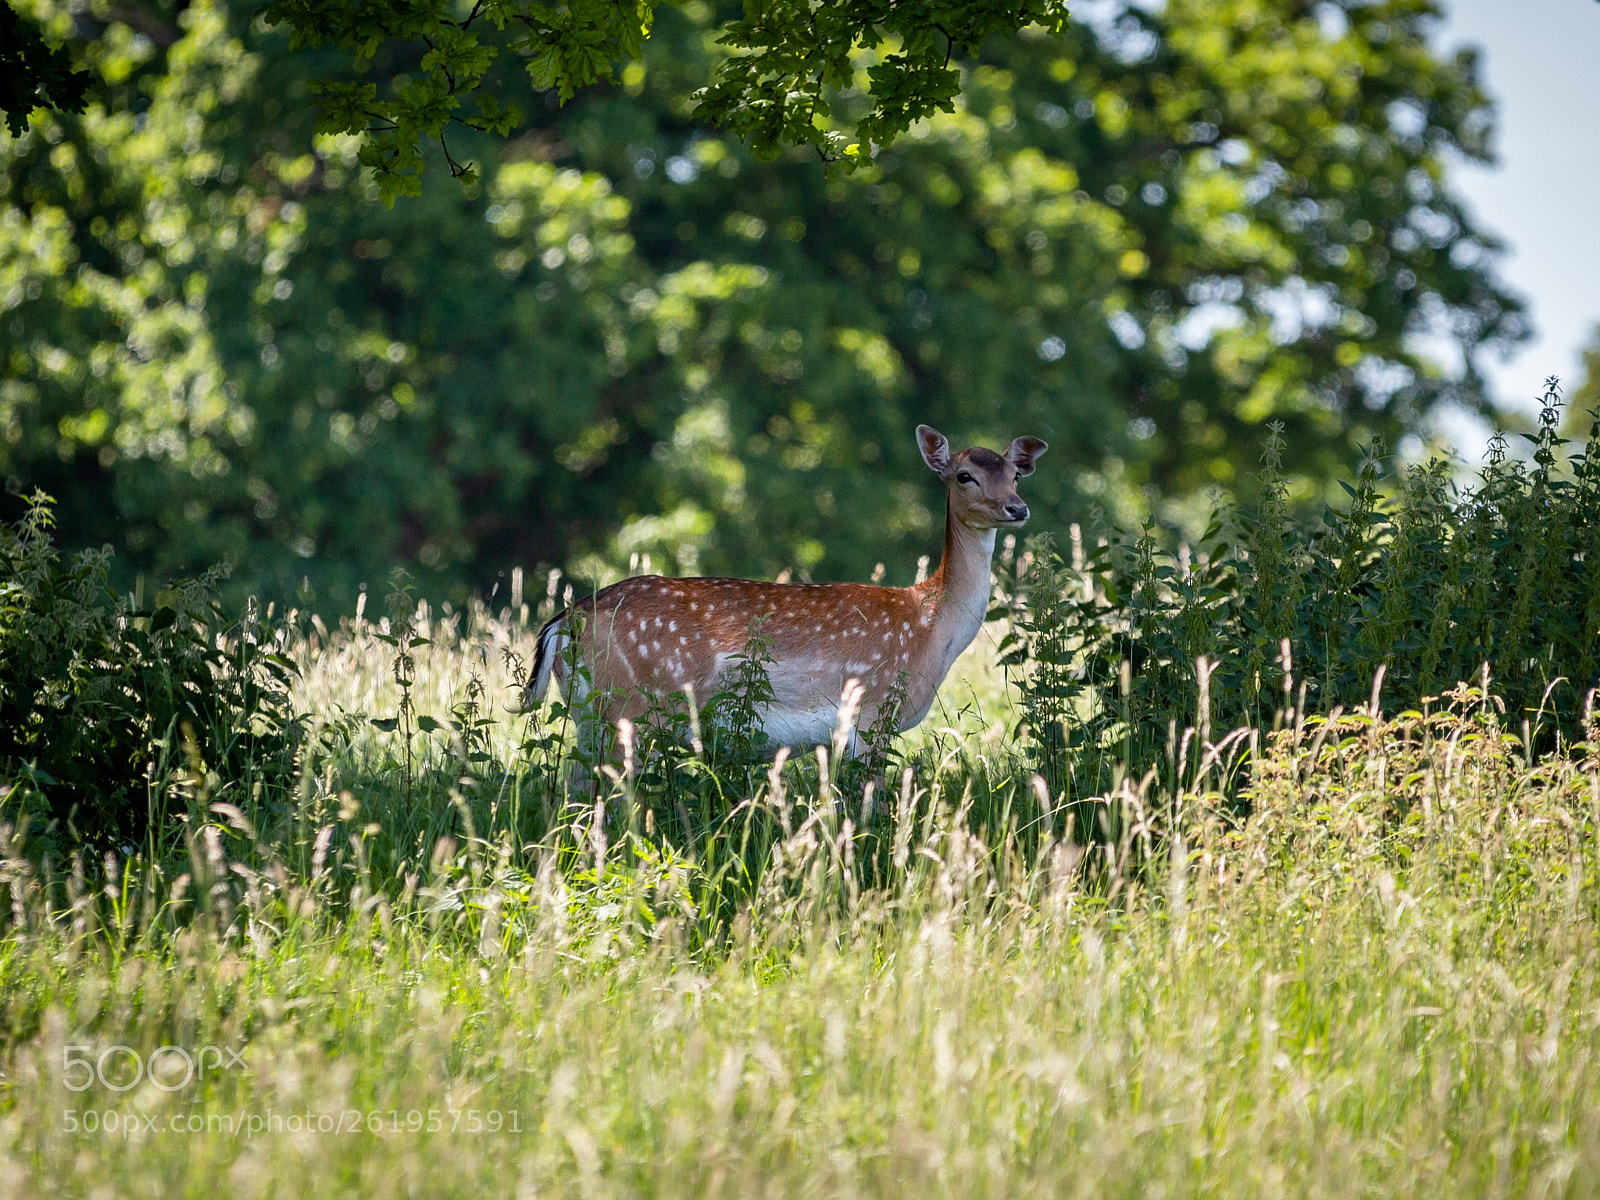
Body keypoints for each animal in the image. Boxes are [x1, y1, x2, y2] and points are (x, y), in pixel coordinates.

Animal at [520, 425, 1046, 759]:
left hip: (589, 716)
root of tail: (565, 622)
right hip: (634, 706)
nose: (1018, 508)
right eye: (964, 476)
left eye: (1015, 474)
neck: (931, 625)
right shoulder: (870, 715)